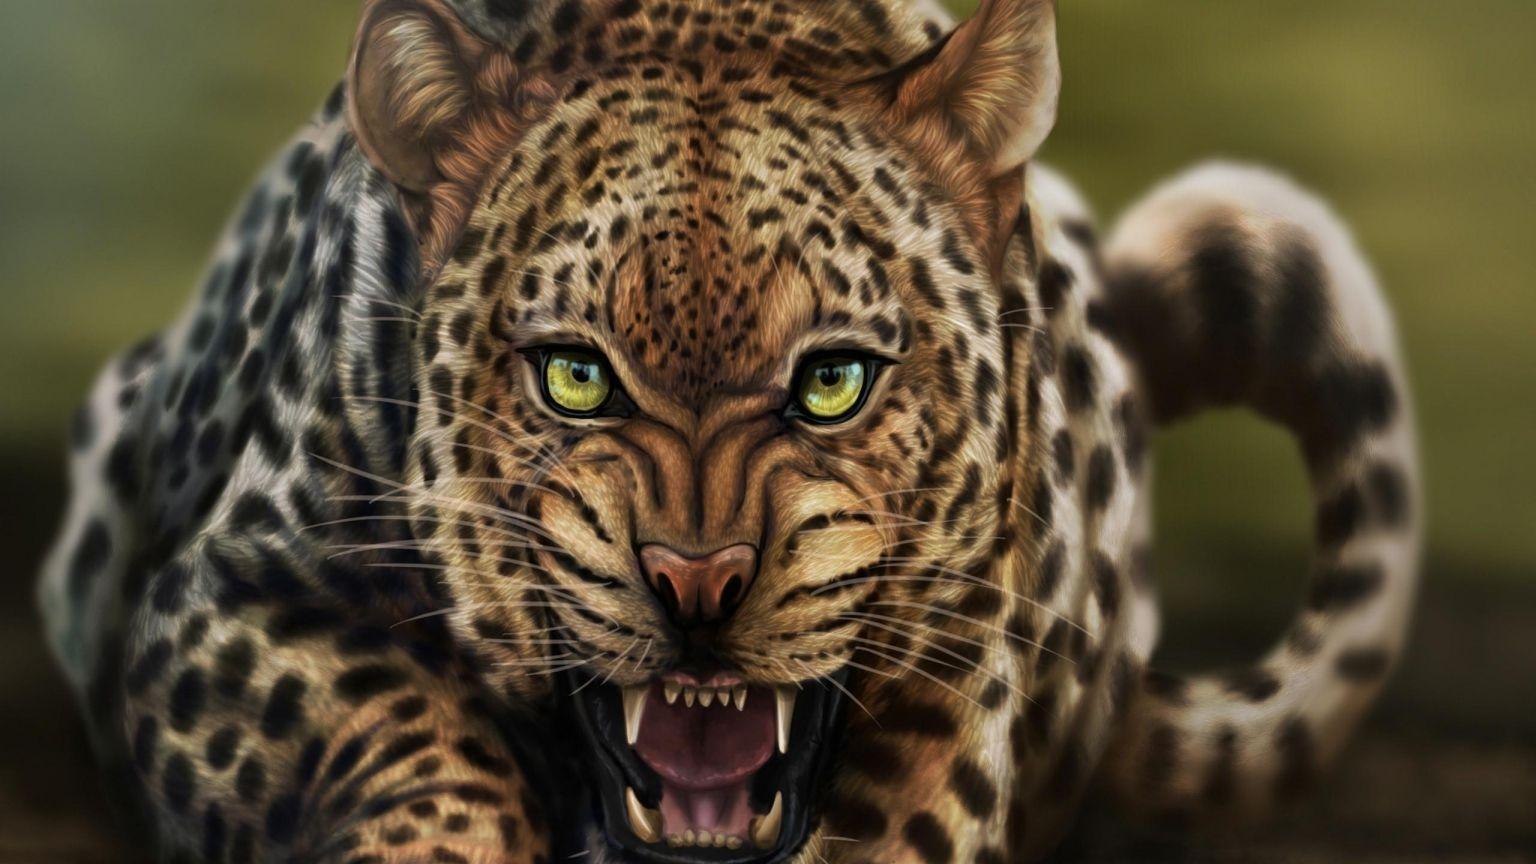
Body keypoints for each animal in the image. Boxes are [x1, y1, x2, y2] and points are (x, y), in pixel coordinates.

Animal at [37, 1, 1421, 862]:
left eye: (833, 383)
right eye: (577, 378)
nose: (697, 585)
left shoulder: (962, 669)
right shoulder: (227, 600)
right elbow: (405, 738)